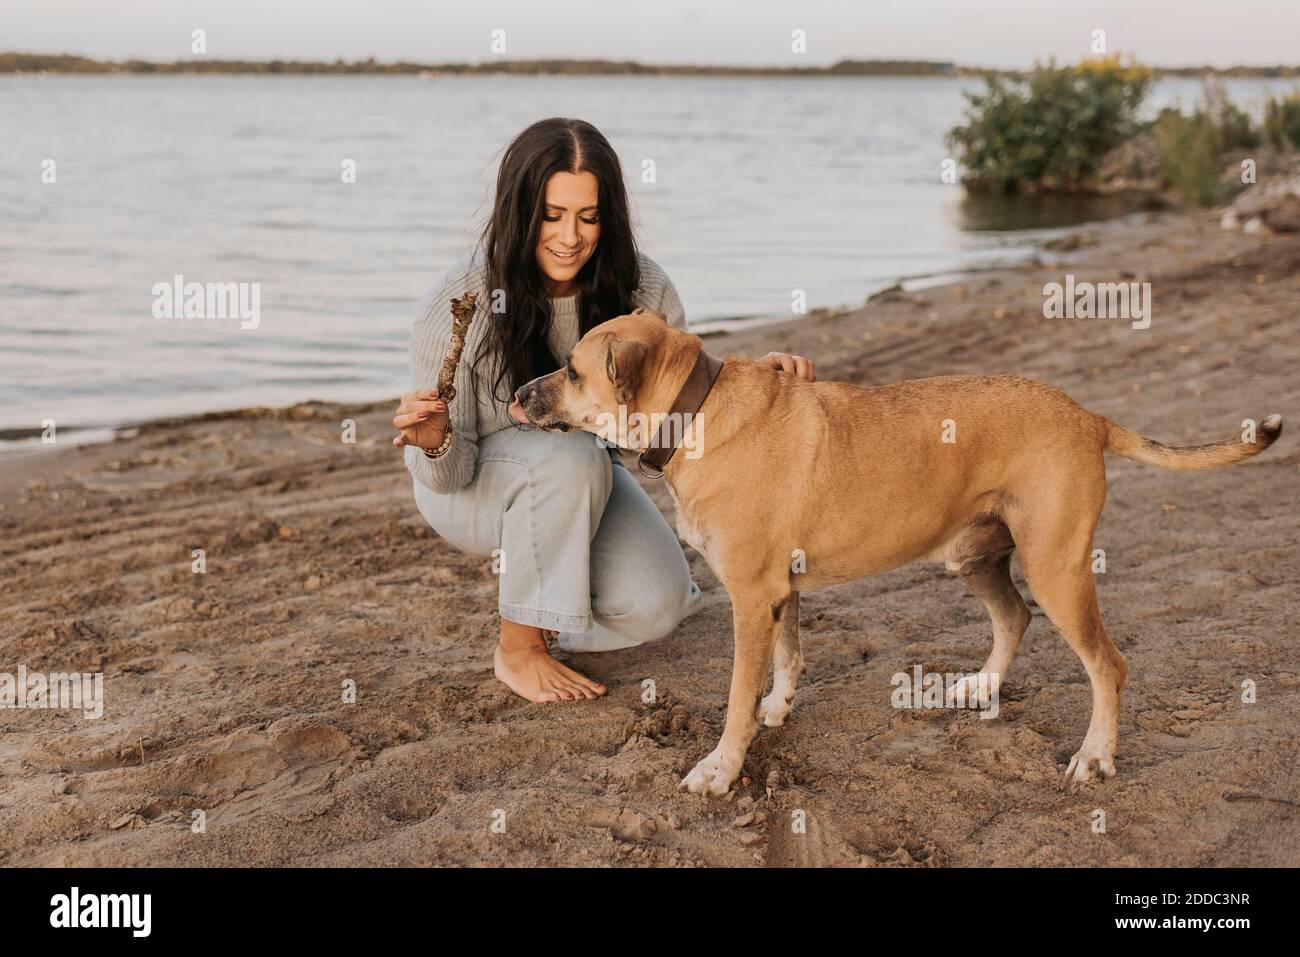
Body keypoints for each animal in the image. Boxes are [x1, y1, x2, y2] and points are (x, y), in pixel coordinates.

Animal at [514, 310, 1279, 795]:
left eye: (572, 371)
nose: (518, 394)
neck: (695, 411)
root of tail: (1087, 416)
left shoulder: (751, 597)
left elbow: (734, 697)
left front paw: (723, 768)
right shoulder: (779, 594)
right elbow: (788, 658)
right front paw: (777, 709)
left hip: (1056, 568)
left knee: (1106, 666)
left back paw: (1094, 757)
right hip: (977, 557)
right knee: (1014, 619)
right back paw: (982, 687)